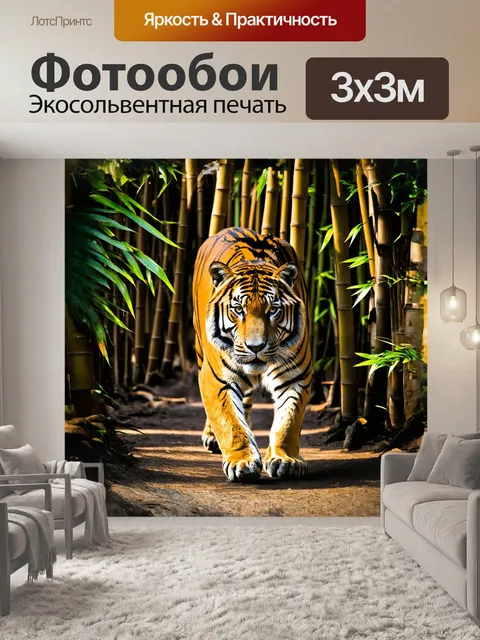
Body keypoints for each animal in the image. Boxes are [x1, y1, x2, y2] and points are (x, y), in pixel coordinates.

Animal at [192, 227, 312, 483]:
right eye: (238, 310)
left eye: (273, 310)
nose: (255, 347)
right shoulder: (217, 379)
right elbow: (229, 422)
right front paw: (242, 462)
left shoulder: (296, 377)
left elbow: (288, 422)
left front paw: (285, 460)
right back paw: (211, 437)